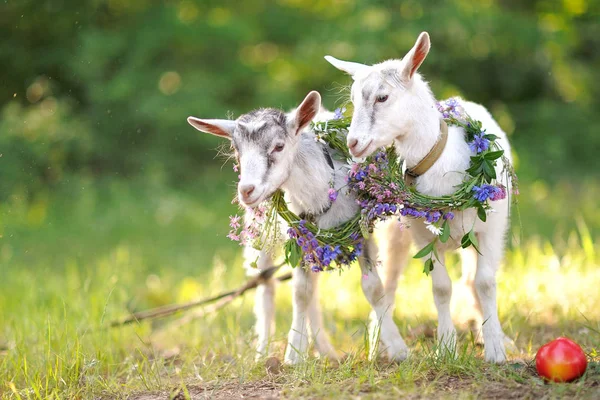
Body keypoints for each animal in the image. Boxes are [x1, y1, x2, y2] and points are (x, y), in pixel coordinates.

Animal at [188, 91, 412, 366]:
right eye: (235, 150)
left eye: (279, 146)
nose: (247, 191)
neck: (322, 194)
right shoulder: (299, 237)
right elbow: (300, 293)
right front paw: (294, 353)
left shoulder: (360, 233)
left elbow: (372, 289)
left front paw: (398, 349)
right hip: (262, 236)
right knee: (266, 287)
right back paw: (263, 352)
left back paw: (325, 350)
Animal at [328, 32, 516, 362]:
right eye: (352, 99)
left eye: (382, 97)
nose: (353, 143)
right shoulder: (423, 235)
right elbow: (441, 288)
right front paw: (446, 347)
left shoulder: (490, 229)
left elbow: (485, 283)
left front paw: (495, 349)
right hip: (395, 235)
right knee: (388, 283)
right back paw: (379, 343)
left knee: (472, 279)